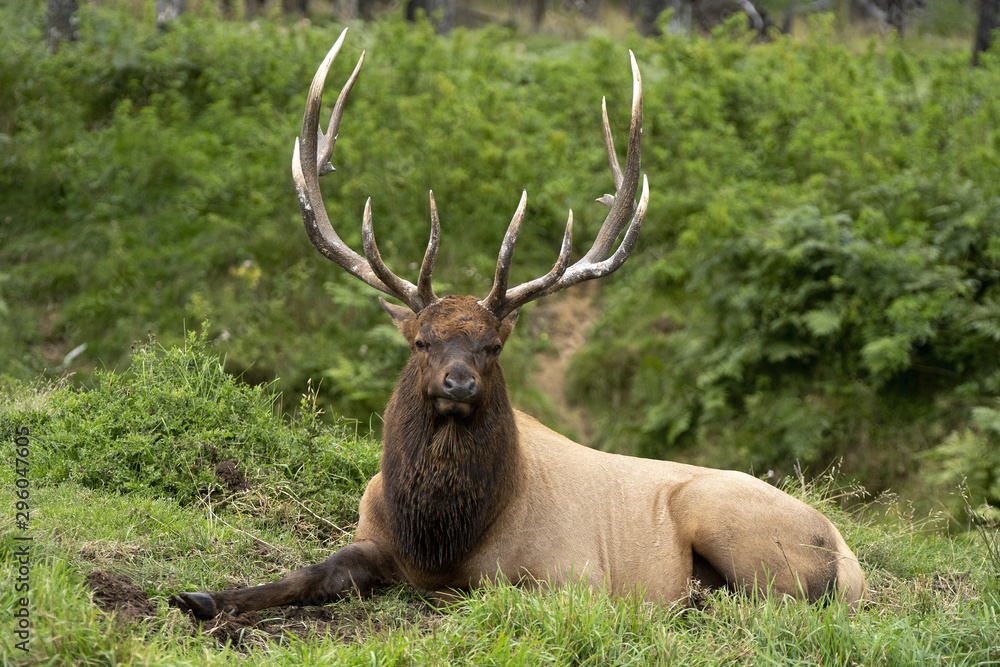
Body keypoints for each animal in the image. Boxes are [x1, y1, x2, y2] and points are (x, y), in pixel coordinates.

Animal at [170, 29, 866, 621]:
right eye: (421, 341)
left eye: (492, 346)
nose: (458, 384)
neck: (438, 543)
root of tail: (848, 558)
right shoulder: (369, 535)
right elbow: (312, 572)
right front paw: (201, 597)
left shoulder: (569, 576)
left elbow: (494, 592)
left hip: (732, 525)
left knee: (765, 604)